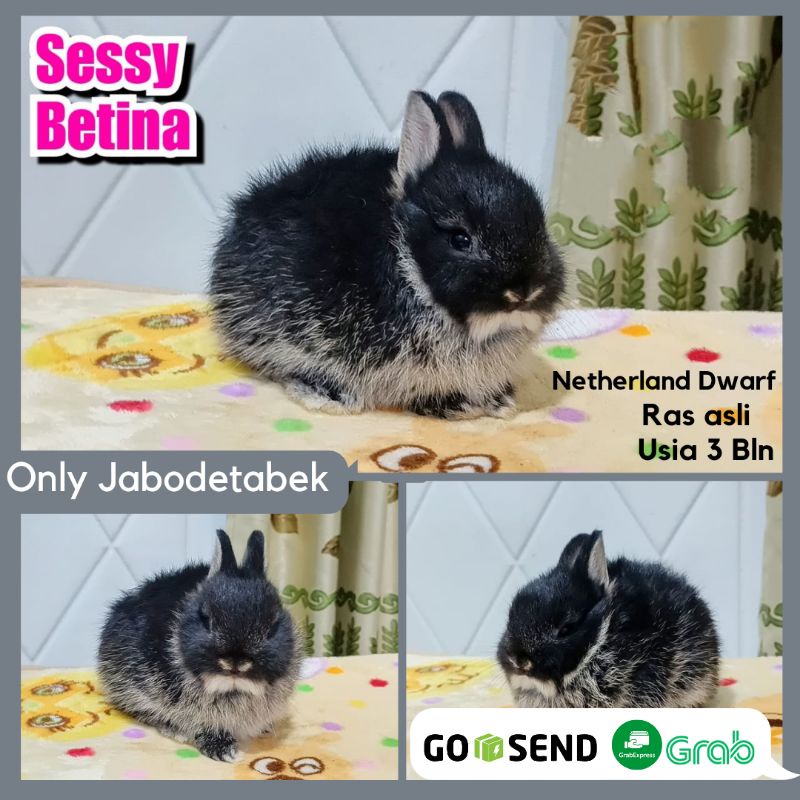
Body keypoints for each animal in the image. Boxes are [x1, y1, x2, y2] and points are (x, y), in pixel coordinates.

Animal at [209, 89, 564, 420]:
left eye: (540, 226)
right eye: (460, 238)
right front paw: (458, 406)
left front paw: (497, 401)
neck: (406, 261)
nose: (524, 291)